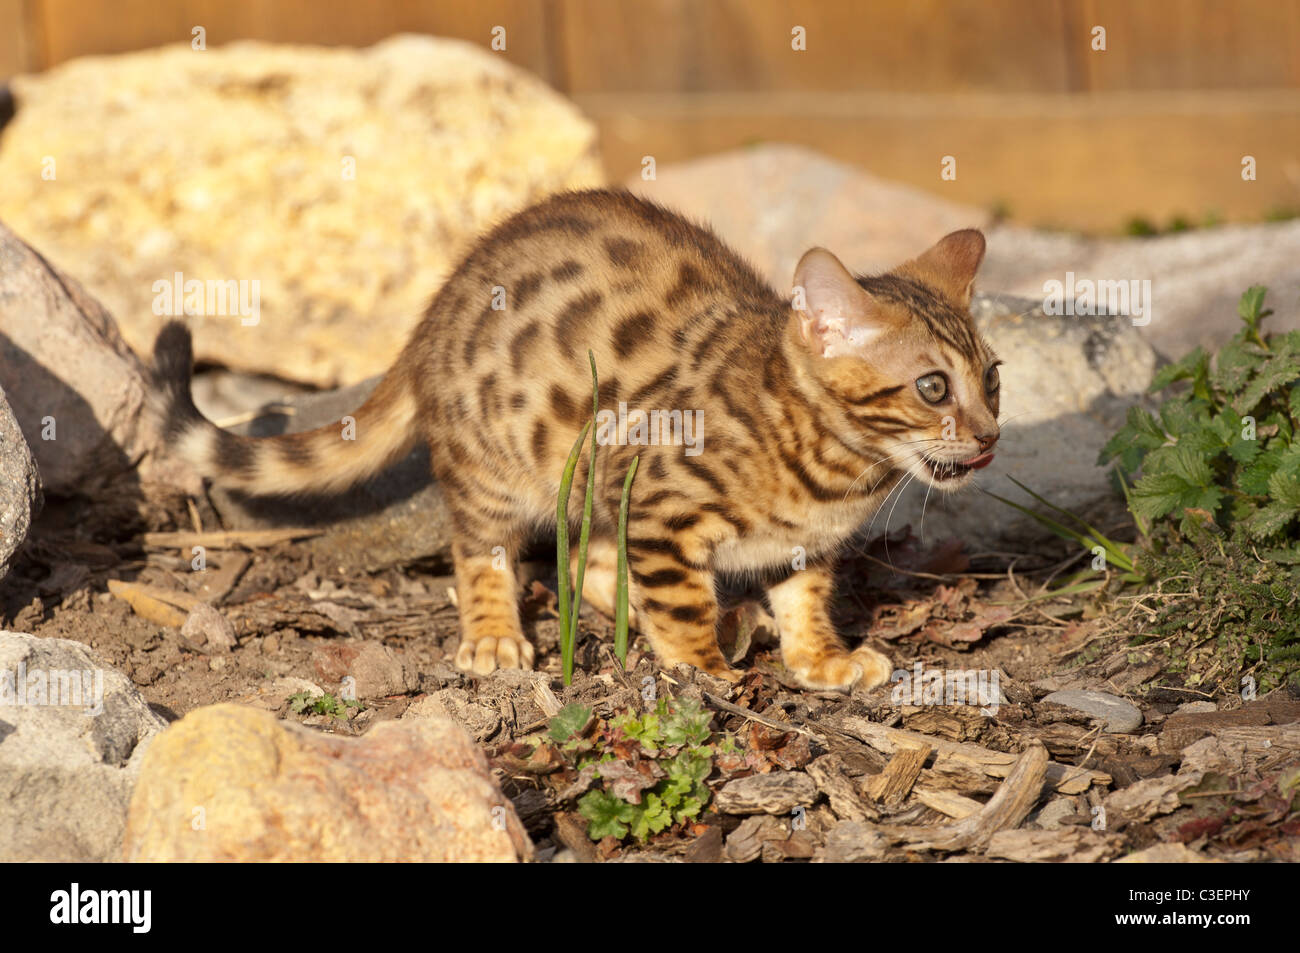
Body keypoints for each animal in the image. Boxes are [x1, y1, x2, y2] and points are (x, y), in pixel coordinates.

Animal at [154, 187, 1003, 691]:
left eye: (993, 377)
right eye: (933, 388)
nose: (992, 437)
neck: (831, 468)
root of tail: (435, 310)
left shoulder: (803, 543)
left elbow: (805, 598)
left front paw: (820, 657)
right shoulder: (661, 507)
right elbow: (680, 602)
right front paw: (701, 666)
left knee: (583, 563)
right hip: (498, 467)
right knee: (484, 549)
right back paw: (497, 634)